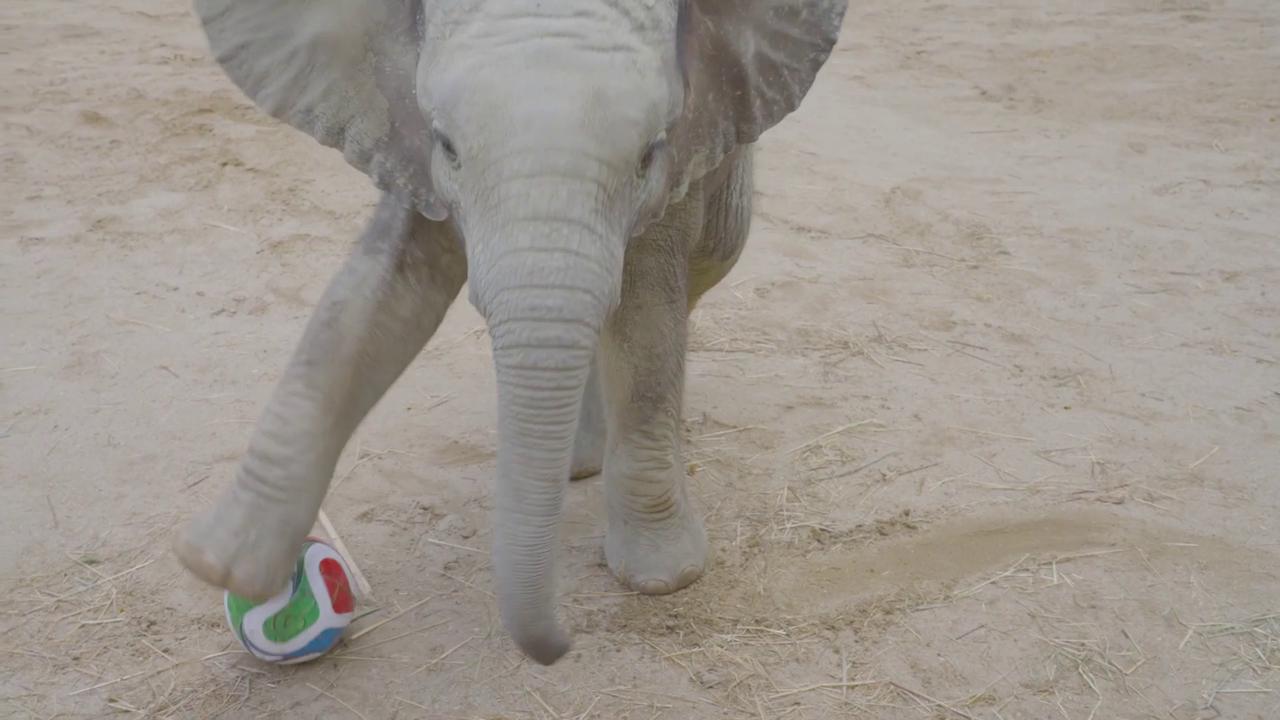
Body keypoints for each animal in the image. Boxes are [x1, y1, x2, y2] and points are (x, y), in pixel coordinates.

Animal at [174, 0, 847, 665]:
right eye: (448, 145)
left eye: (648, 152)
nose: (563, 645)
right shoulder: (408, 146)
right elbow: (372, 301)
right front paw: (228, 568)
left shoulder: (684, 156)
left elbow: (645, 317)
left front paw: (662, 578)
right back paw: (577, 466)